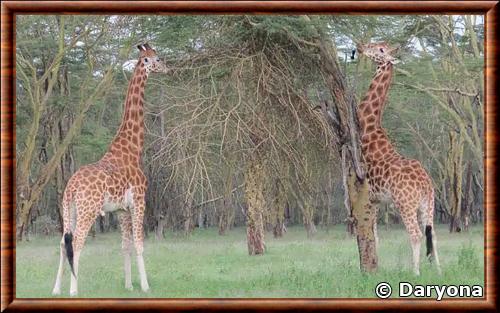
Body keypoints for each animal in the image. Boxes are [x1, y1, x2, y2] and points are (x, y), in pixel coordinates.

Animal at [52, 44, 167, 294]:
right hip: (88, 210)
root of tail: (71, 187)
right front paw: (145, 286)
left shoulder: (121, 210)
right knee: (76, 242)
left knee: (62, 243)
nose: (168, 68)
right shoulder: (139, 201)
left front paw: (129, 286)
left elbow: (125, 246)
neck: (132, 148)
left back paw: (56, 290)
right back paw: (73, 290)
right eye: (157, 58)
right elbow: (139, 244)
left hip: (69, 209)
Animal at [356, 42, 442, 276]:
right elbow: (374, 237)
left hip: (405, 204)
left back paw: (416, 272)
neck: (370, 128)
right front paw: (375, 267)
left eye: (380, 49)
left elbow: (370, 235)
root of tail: (425, 184)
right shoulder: (376, 199)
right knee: (433, 234)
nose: (361, 47)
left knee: (416, 234)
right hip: (428, 204)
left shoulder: (367, 195)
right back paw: (438, 271)